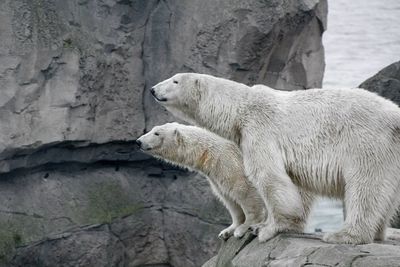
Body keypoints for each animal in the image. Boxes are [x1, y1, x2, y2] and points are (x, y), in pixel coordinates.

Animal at [137, 122, 266, 240]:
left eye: (157, 133)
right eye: (153, 129)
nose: (138, 141)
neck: (206, 151)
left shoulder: (229, 160)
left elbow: (244, 189)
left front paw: (242, 229)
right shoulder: (216, 174)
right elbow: (228, 198)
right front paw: (227, 231)